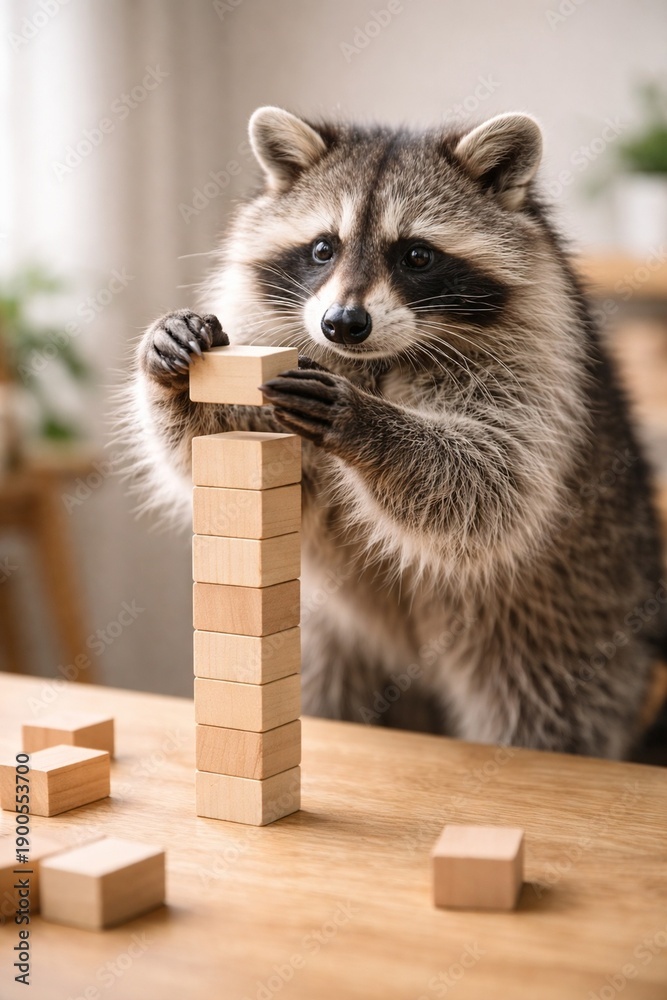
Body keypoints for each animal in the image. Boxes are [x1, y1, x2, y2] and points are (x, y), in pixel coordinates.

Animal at [132, 107, 667, 758]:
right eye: (322, 248)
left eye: (416, 256)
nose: (342, 324)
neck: (375, 360)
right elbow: (241, 468)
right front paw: (172, 375)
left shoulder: (540, 376)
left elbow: (496, 481)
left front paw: (367, 422)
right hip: (333, 644)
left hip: (565, 651)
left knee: (547, 719)